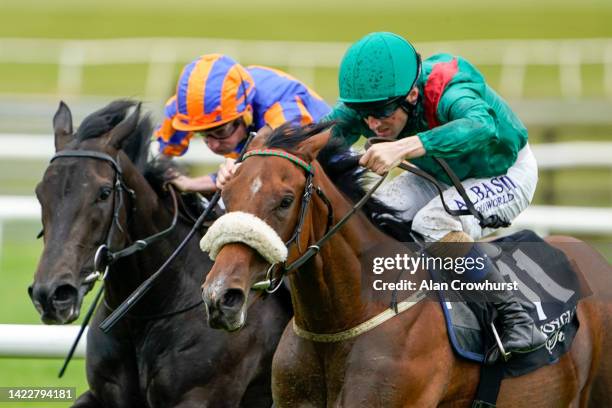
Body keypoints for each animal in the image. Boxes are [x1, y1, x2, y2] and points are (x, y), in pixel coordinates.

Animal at [29, 99, 292, 408]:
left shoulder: (201, 396)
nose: (51, 295)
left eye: (104, 192)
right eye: (40, 193)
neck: (148, 312)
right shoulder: (103, 394)